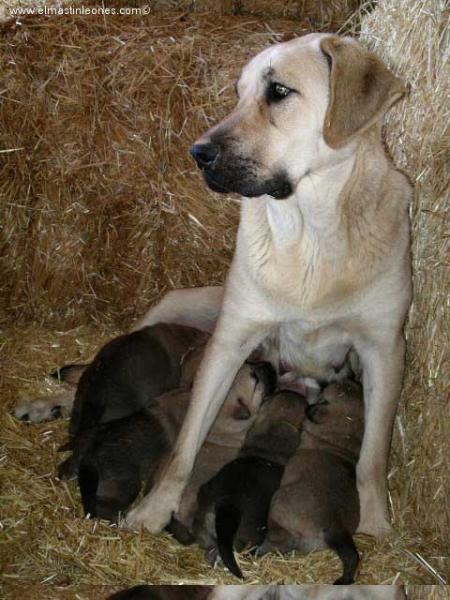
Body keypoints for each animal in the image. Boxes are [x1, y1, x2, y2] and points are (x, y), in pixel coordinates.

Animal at [123, 32, 412, 540]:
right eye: (237, 94)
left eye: (278, 91)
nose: (197, 154)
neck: (312, 234)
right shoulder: (230, 339)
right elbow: (184, 446)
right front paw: (154, 510)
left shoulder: (384, 349)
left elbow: (373, 458)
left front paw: (375, 524)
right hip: (176, 305)